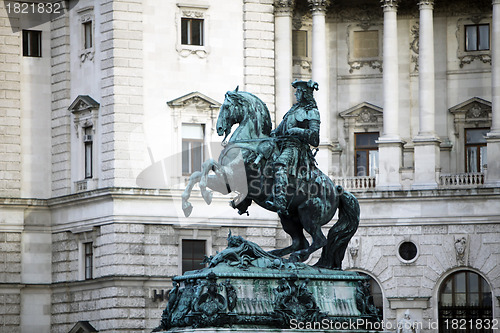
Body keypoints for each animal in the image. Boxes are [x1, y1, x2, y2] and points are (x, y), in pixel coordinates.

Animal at [180, 86, 360, 268]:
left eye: (226, 106)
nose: (219, 128)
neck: (248, 144)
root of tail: (337, 189)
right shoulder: (224, 174)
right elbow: (200, 171)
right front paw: (187, 203)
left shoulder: (229, 179)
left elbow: (201, 174)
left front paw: (203, 196)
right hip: (288, 216)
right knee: (300, 242)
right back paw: (272, 255)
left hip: (308, 213)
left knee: (319, 240)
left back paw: (290, 257)